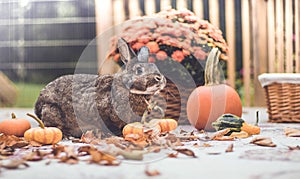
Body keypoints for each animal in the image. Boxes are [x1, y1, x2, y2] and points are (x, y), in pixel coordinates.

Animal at [35, 38, 168, 138]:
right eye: (139, 70)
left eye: (155, 66)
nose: (160, 79)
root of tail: (38, 105)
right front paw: (119, 135)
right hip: (52, 111)